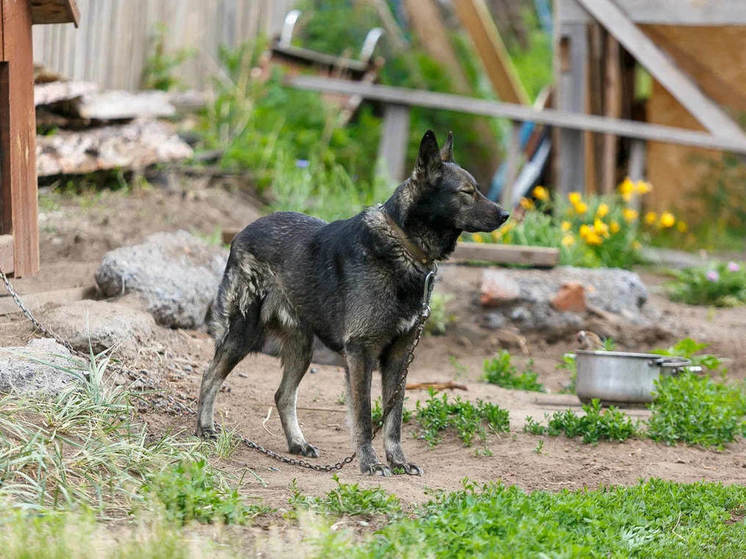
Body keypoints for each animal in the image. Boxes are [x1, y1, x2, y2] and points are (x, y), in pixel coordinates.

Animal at [198, 131, 508, 476]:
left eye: (478, 189)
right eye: (466, 192)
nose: (505, 215)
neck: (405, 245)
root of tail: (242, 233)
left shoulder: (399, 357)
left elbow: (393, 418)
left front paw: (398, 460)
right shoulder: (361, 352)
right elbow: (363, 415)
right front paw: (370, 463)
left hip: (302, 349)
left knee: (283, 395)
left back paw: (297, 444)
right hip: (243, 334)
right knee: (210, 376)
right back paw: (205, 429)